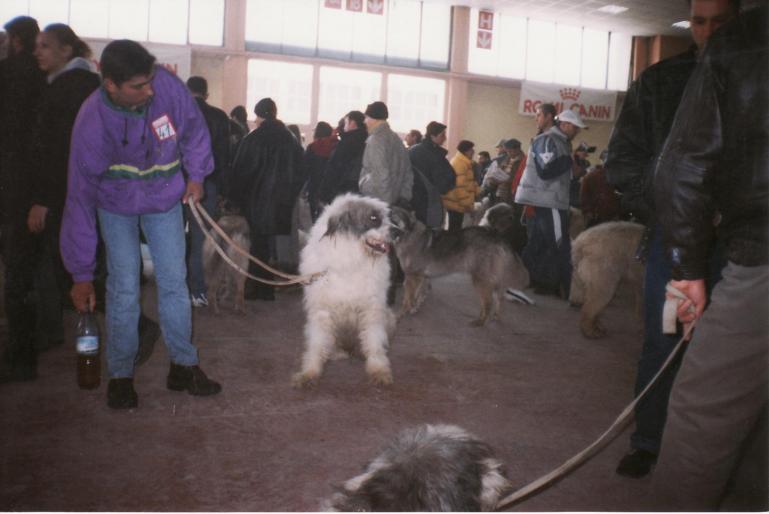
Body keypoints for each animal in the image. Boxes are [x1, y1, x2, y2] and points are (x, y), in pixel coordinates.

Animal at [292, 194, 392, 386]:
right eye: (373, 218)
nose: (400, 231)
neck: (351, 261)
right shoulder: (321, 311)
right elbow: (317, 344)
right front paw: (309, 372)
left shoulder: (372, 309)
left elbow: (374, 343)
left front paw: (378, 370)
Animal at [390, 205, 528, 322]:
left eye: (393, 218)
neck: (409, 234)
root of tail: (492, 232)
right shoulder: (422, 277)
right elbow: (418, 295)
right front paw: (414, 308)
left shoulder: (413, 277)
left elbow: (407, 299)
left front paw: (400, 315)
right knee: (498, 296)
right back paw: (495, 316)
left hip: (481, 279)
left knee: (489, 301)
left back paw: (480, 322)